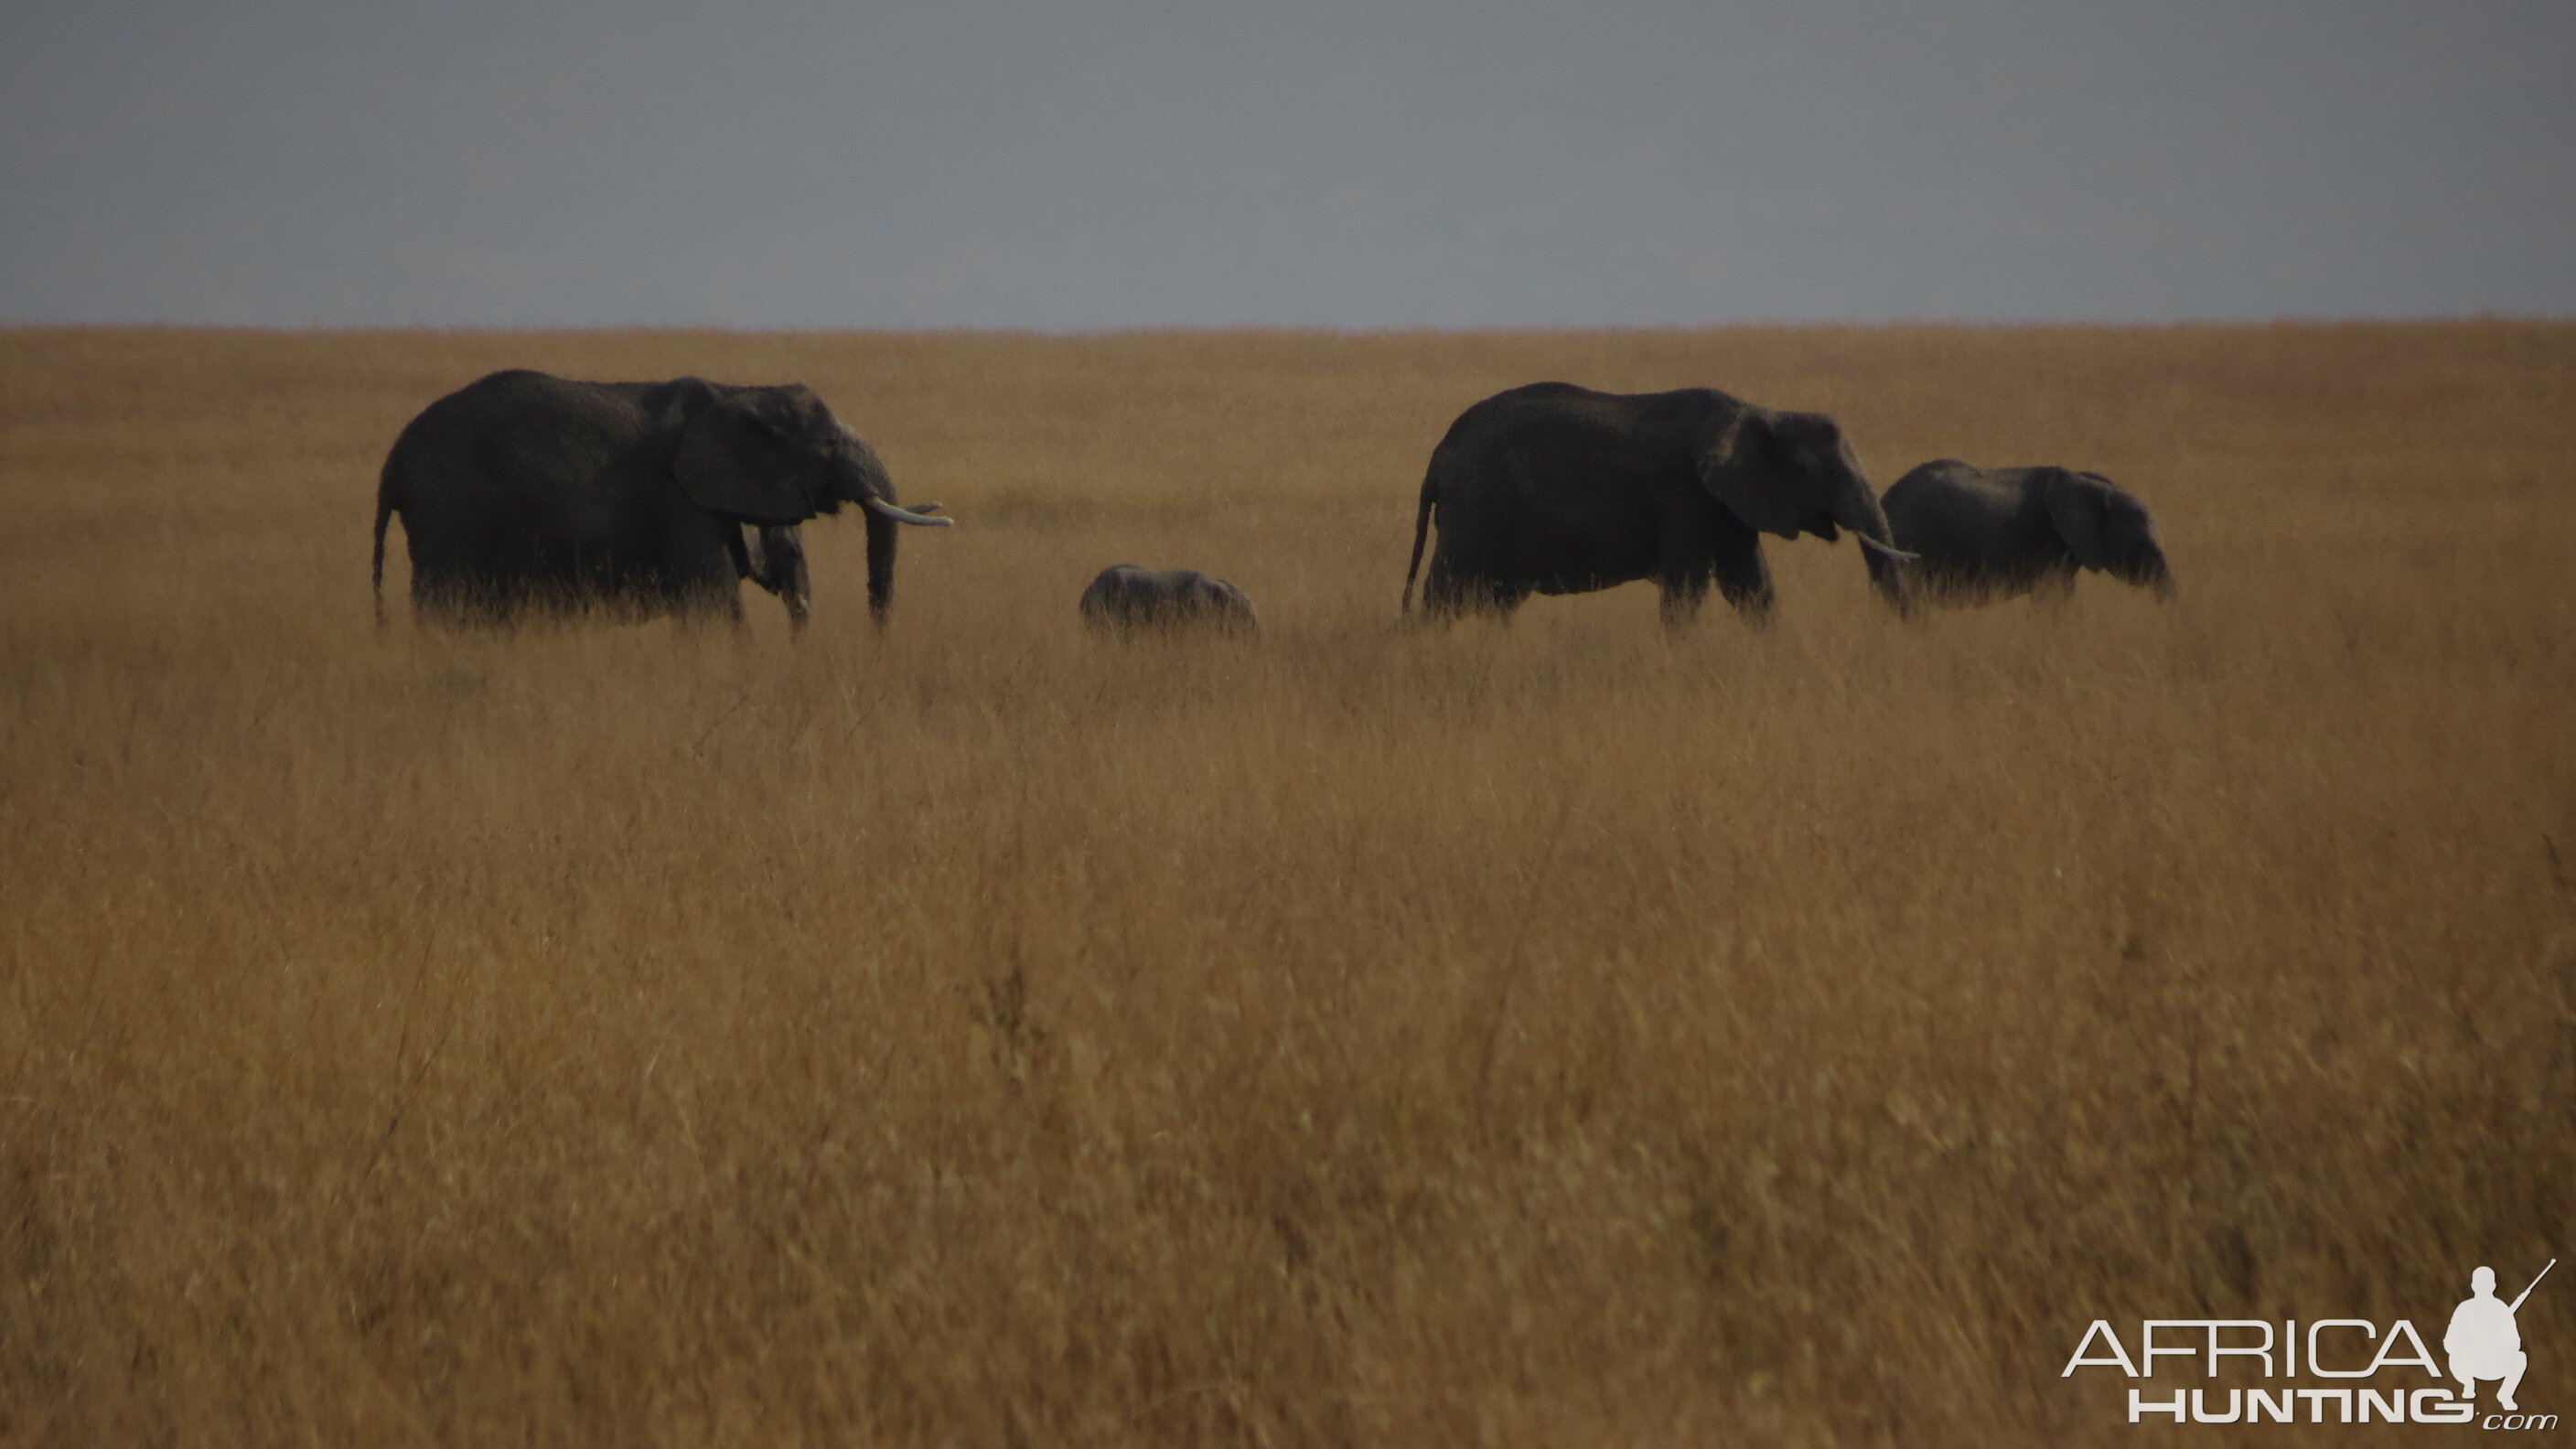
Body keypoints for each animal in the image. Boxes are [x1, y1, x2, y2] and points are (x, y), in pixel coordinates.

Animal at [373, 366, 958, 626]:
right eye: (830, 443)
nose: (877, 647)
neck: (739, 392)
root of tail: (392, 463)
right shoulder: (678, 498)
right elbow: (713, 601)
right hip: (450, 511)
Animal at [1401, 379, 1905, 626]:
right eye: (1806, 471)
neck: (1762, 411)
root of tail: (1438, 455)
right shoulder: (1685, 495)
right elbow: (1688, 588)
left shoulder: (1728, 501)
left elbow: (1750, 584)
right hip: (1475, 510)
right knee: (1448, 591)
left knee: (1497, 599)